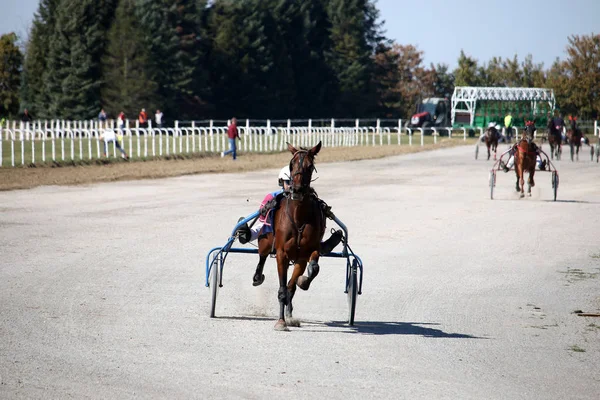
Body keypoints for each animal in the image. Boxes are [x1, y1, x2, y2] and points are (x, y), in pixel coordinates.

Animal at [264, 142, 324, 330]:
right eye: (291, 164)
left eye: (310, 166)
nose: (296, 189)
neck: (298, 217)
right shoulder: (281, 254)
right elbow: (283, 288)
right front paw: (281, 321)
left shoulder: (304, 254)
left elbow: (296, 282)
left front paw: (303, 281)